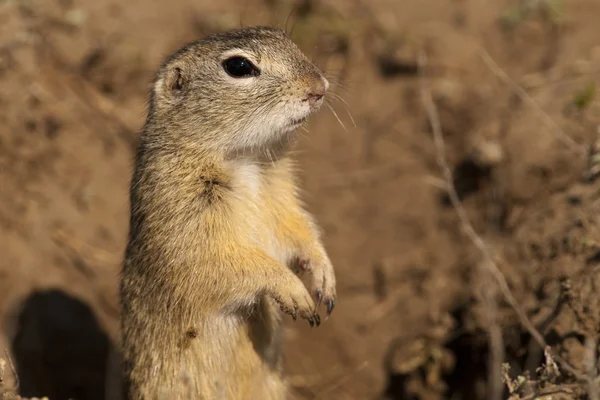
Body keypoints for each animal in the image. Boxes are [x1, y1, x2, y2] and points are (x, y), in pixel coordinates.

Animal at [118, 26, 338, 398]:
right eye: (238, 66)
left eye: (283, 36)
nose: (318, 87)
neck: (245, 159)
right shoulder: (185, 218)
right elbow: (228, 262)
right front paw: (294, 291)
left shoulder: (282, 199)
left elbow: (301, 230)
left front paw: (324, 277)